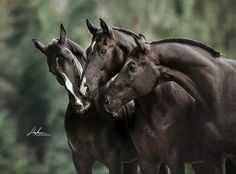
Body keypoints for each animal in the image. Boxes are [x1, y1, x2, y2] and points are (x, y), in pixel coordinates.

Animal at [32, 24, 138, 174]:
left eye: (71, 59)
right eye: (52, 72)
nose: (79, 101)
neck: (90, 117)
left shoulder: (114, 160)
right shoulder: (80, 160)